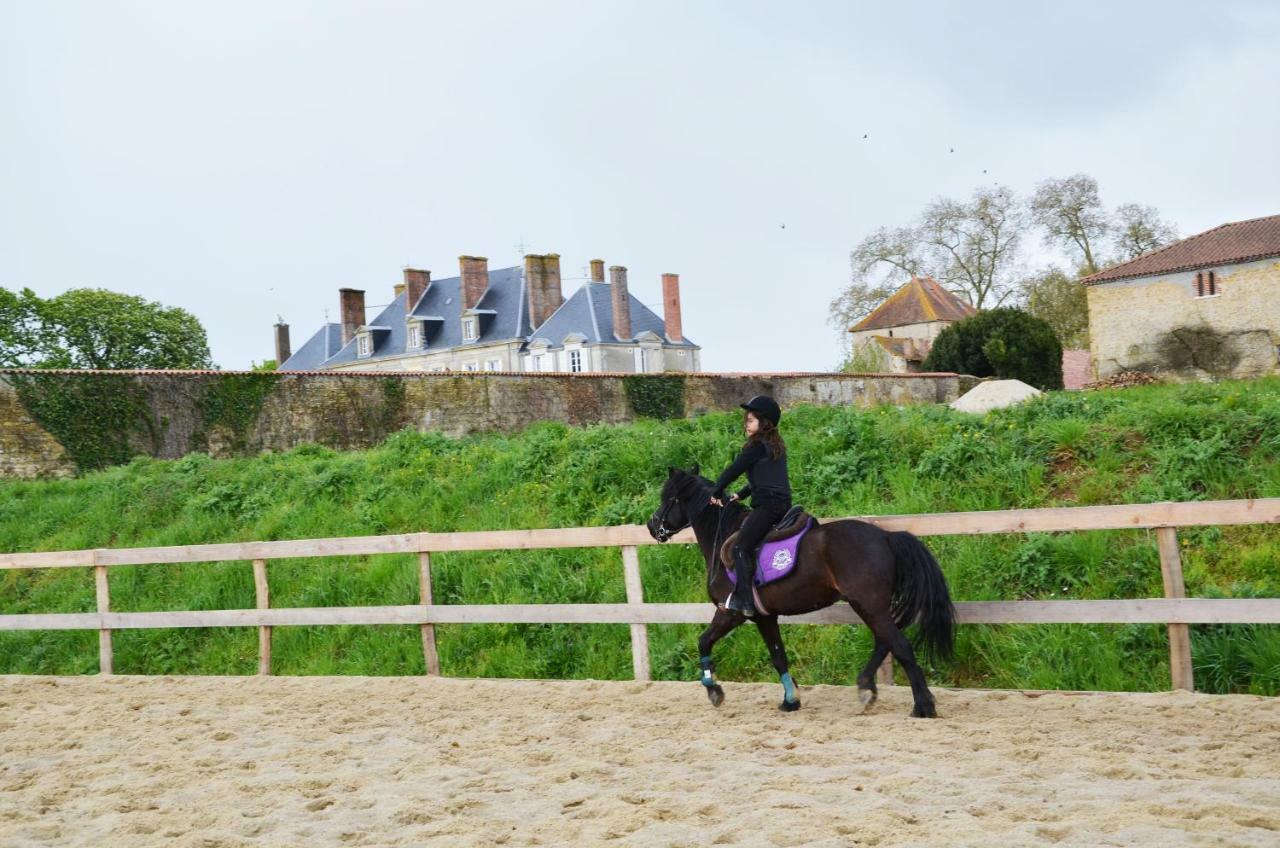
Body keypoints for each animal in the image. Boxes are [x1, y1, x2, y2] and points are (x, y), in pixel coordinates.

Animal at [645, 468, 957, 722]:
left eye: (668, 497)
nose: (651, 525)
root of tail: (887, 537)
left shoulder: (729, 612)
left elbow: (703, 642)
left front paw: (714, 690)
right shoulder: (765, 617)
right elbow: (778, 656)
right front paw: (790, 700)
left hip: (869, 604)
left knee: (899, 645)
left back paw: (922, 706)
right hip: (870, 605)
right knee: (885, 642)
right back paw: (867, 688)